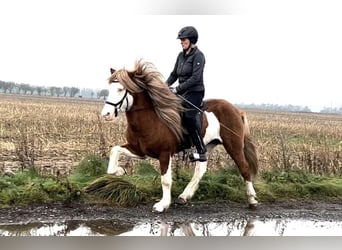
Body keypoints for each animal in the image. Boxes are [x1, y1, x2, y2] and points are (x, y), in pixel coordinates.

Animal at [100, 60, 258, 213]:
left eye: (121, 89)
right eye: (109, 88)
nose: (106, 114)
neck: (152, 118)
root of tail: (236, 110)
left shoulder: (165, 153)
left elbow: (165, 180)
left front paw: (162, 205)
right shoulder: (139, 150)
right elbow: (114, 151)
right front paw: (119, 171)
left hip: (233, 145)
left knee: (244, 167)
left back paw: (252, 200)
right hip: (206, 145)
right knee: (201, 169)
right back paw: (184, 197)